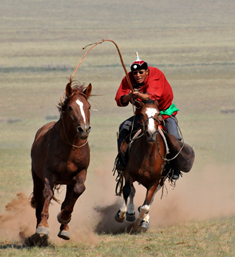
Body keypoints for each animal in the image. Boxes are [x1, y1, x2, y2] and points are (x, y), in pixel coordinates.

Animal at [29, 80, 92, 240]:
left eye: (88, 106)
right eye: (70, 107)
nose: (84, 129)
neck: (70, 146)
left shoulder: (81, 173)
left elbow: (78, 191)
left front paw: (64, 218)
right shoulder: (49, 173)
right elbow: (48, 194)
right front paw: (43, 226)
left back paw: (64, 228)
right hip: (37, 178)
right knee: (39, 201)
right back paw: (38, 230)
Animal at [115, 99, 195, 229]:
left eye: (158, 114)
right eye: (142, 114)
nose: (151, 134)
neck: (147, 155)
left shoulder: (155, 180)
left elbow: (146, 204)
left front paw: (144, 219)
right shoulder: (128, 173)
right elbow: (127, 190)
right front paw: (122, 214)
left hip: (161, 181)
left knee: (150, 199)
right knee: (132, 191)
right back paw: (131, 212)